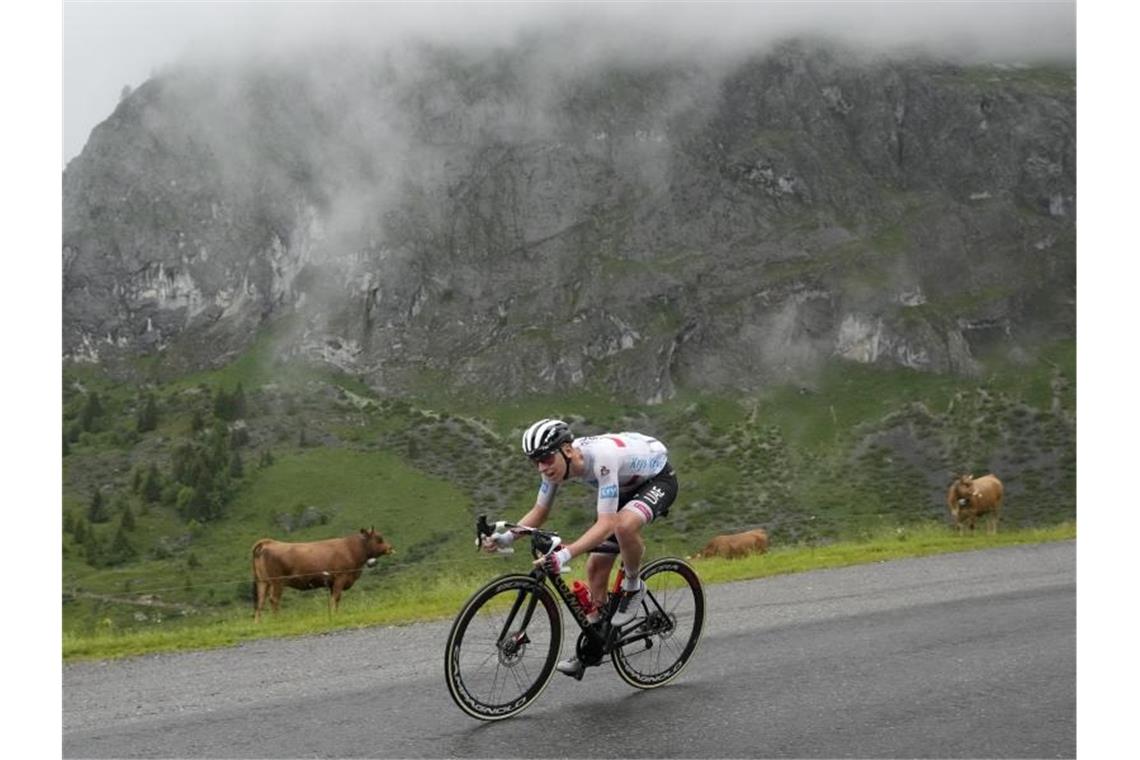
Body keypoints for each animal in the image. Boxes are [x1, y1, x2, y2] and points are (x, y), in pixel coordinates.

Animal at [249, 526, 392, 619]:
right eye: (379, 539)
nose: (390, 548)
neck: (351, 549)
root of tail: (269, 542)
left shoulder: (332, 583)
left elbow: (334, 599)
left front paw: (335, 613)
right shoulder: (340, 578)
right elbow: (336, 597)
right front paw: (334, 615)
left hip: (263, 582)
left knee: (260, 602)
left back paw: (259, 623)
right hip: (277, 582)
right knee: (274, 599)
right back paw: (278, 620)